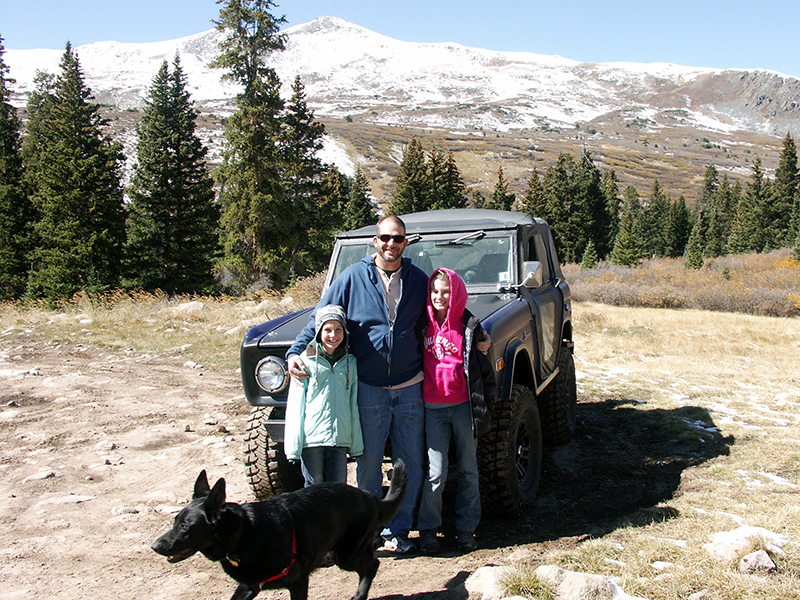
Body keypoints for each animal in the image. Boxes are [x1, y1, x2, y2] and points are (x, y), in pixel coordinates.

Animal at [152, 460, 406, 600]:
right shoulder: (248, 586)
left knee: (372, 565)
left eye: (185, 526)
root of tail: (369, 496)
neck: (245, 531)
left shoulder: (298, 581)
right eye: (175, 521)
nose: (155, 546)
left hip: (348, 555)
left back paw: (360, 595)